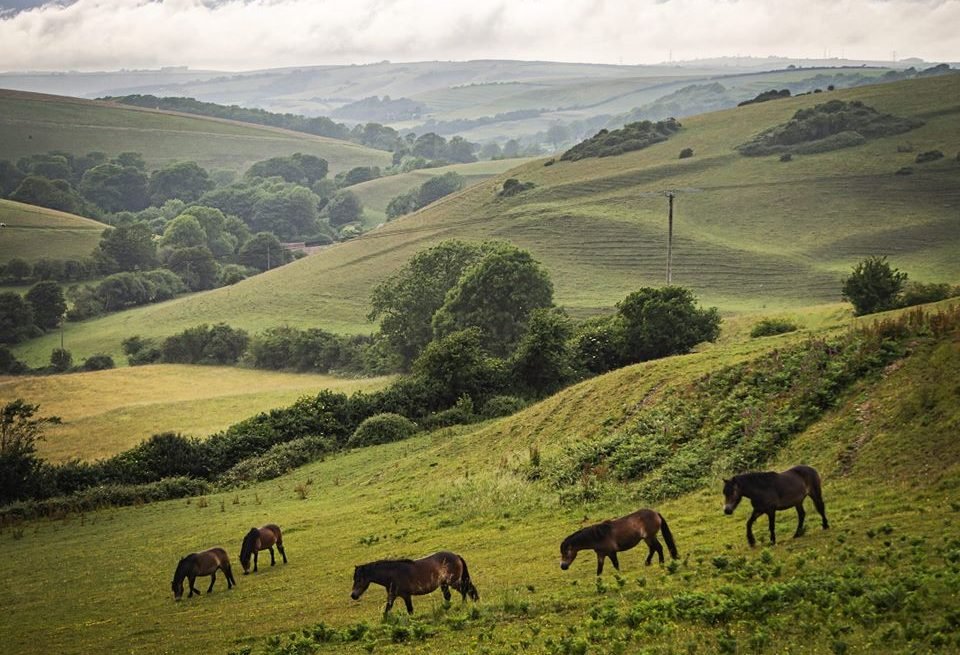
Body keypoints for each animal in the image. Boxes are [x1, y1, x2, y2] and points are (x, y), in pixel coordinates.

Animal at [350, 551, 479, 615]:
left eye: (359, 579)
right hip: (445, 584)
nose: (353, 595)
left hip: (453, 582)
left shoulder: (406, 596)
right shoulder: (392, 595)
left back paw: (463, 604)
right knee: (452, 595)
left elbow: (410, 610)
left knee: (464, 590)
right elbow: (387, 609)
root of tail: (456, 556)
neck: (392, 574)